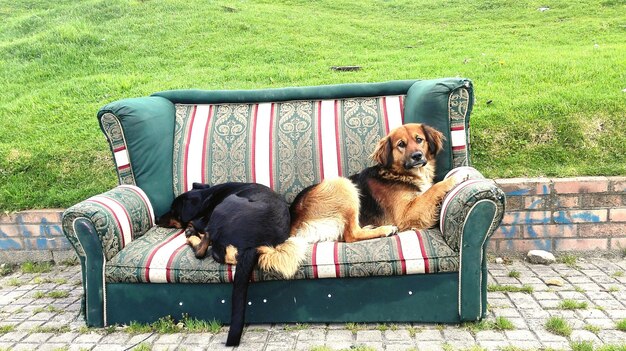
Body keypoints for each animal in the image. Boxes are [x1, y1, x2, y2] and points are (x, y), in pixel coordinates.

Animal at [157, 183, 292, 348]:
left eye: (173, 210)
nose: (156, 218)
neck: (206, 197)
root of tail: (253, 244)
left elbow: (195, 225)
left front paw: (192, 229)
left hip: (227, 203)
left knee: (204, 247)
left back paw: (194, 236)